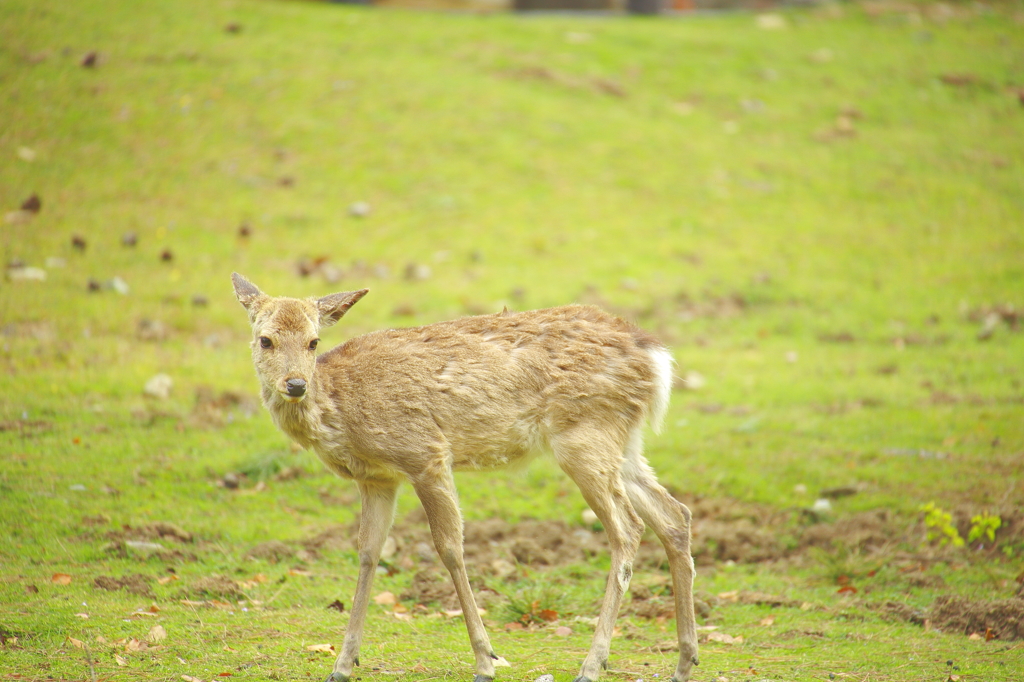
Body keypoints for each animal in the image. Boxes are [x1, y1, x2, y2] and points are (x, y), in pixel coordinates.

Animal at [230, 272, 696, 679]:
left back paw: (592, 666)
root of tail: (656, 357)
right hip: (623, 442)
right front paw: (342, 665)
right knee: (675, 515)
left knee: (629, 529)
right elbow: (368, 552)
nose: (296, 385)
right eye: (265, 339)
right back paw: (683, 663)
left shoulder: (426, 453)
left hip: (585, 435)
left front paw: (486, 661)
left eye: (314, 341)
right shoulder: (377, 478)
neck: (341, 410)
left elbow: (451, 548)